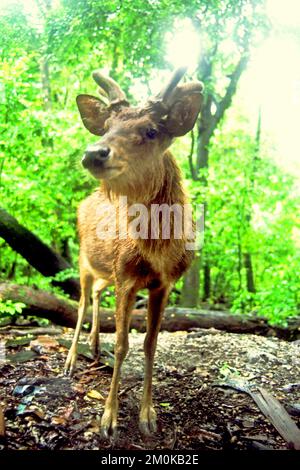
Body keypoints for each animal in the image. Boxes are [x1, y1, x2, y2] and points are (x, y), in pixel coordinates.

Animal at [64, 65, 203, 436]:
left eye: (151, 130)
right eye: (107, 127)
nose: (94, 152)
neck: (158, 251)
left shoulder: (163, 284)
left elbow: (150, 344)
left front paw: (148, 416)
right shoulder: (126, 278)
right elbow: (123, 345)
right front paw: (108, 419)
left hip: (105, 271)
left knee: (97, 294)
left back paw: (94, 346)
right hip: (82, 260)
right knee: (80, 303)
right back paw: (71, 359)